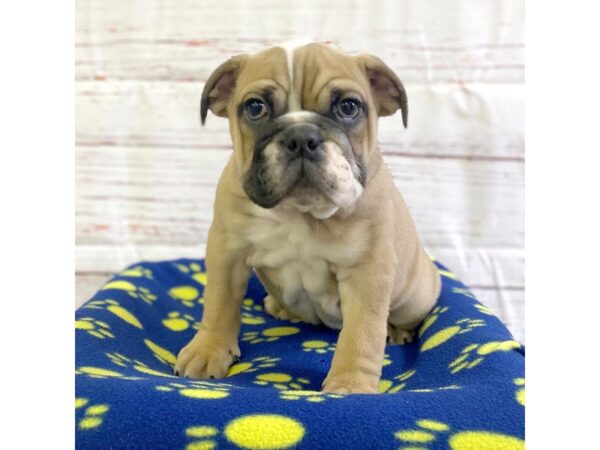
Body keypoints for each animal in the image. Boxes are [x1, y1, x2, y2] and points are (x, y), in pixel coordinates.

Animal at [173, 42, 440, 394]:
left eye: (349, 107)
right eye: (255, 107)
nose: (301, 137)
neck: (300, 213)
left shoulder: (368, 272)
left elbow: (361, 333)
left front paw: (350, 384)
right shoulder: (226, 253)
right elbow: (219, 305)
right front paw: (207, 351)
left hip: (416, 296)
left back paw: (396, 330)